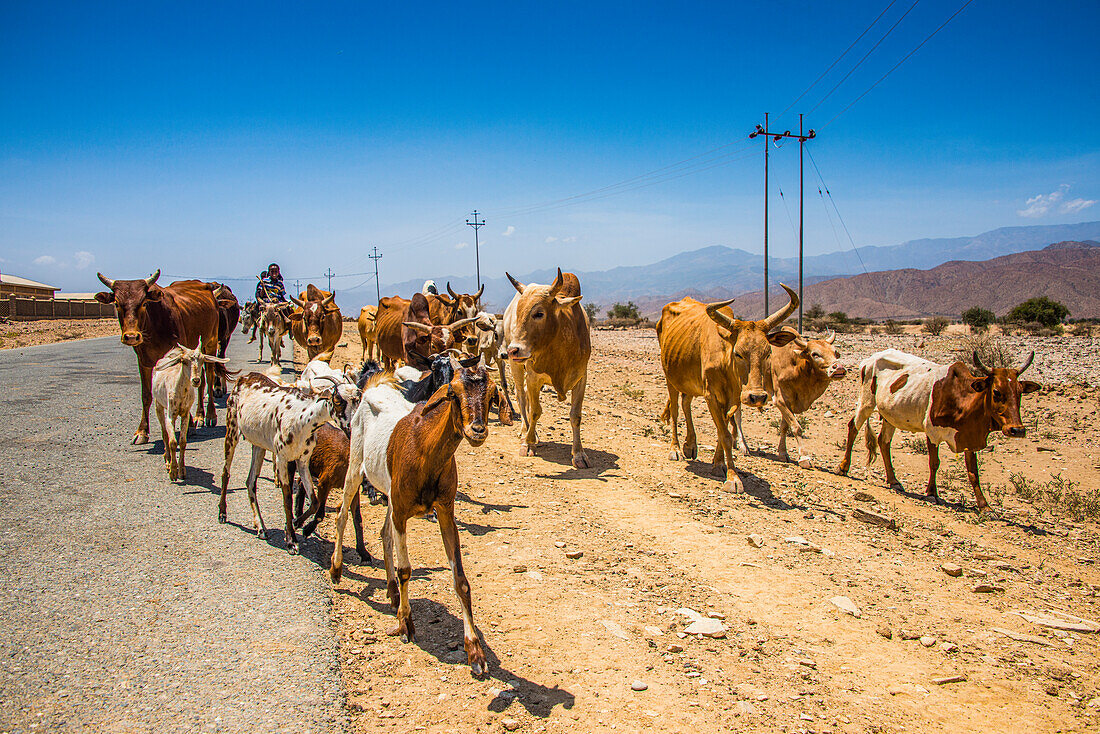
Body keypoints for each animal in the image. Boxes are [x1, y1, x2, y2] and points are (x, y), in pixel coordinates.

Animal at [95, 268, 222, 442]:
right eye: (116, 303)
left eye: (144, 303)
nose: (131, 336)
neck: (153, 327)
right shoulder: (144, 361)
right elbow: (146, 395)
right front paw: (142, 431)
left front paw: (189, 425)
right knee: (201, 381)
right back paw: (199, 416)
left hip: (210, 342)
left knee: (208, 377)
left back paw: (209, 416)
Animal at [221, 369, 358, 554]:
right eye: (337, 400)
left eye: (358, 398)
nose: (352, 428)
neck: (303, 416)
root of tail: (245, 376)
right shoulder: (283, 458)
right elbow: (287, 499)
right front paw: (291, 540)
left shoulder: (302, 460)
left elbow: (314, 502)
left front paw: (296, 523)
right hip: (232, 429)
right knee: (225, 472)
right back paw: (222, 513)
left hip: (258, 445)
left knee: (250, 481)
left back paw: (261, 527)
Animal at [503, 267, 594, 468]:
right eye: (518, 314)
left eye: (539, 313)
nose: (513, 350)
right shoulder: (533, 377)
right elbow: (535, 411)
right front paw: (528, 444)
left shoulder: (581, 378)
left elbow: (575, 415)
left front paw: (579, 454)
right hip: (516, 367)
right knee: (521, 397)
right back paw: (526, 431)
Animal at [651, 286, 800, 493]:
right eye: (738, 353)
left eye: (768, 353)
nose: (757, 397)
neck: (724, 358)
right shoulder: (712, 395)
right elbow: (725, 435)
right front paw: (733, 477)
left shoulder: (733, 399)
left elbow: (722, 431)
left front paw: (719, 464)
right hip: (670, 378)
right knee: (674, 411)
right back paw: (676, 449)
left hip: (689, 380)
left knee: (686, 403)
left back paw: (690, 445)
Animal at [770, 330, 844, 468]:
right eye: (815, 354)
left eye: (835, 352)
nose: (839, 368)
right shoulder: (779, 400)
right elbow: (796, 427)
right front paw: (804, 457)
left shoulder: (790, 402)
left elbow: (784, 427)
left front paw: (783, 453)